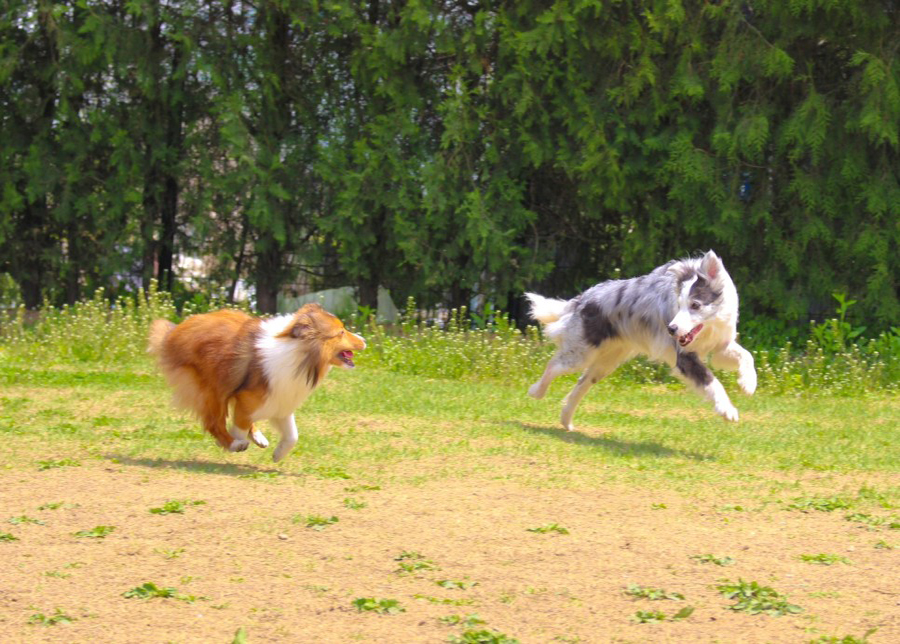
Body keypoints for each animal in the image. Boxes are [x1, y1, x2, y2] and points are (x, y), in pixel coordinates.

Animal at [148, 304, 366, 460]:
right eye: (341, 332)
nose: (364, 340)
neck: (300, 353)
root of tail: (172, 332)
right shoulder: (249, 396)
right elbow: (239, 426)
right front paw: (234, 442)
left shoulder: (281, 399)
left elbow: (292, 435)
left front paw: (278, 455)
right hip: (213, 389)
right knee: (214, 422)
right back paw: (233, 443)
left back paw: (259, 437)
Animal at [524, 249, 756, 430]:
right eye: (679, 304)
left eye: (695, 305)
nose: (671, 329)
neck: (709, 328)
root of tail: (583, 299)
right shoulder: (685, 358)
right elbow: (712, 382)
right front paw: (727, 410)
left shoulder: (720, 346)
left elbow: (747, 356)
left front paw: (748, 383)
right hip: (582, 352)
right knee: (554, 365)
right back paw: (537, 391)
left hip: (605, 363)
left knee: (580, 385)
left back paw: (566, 421)